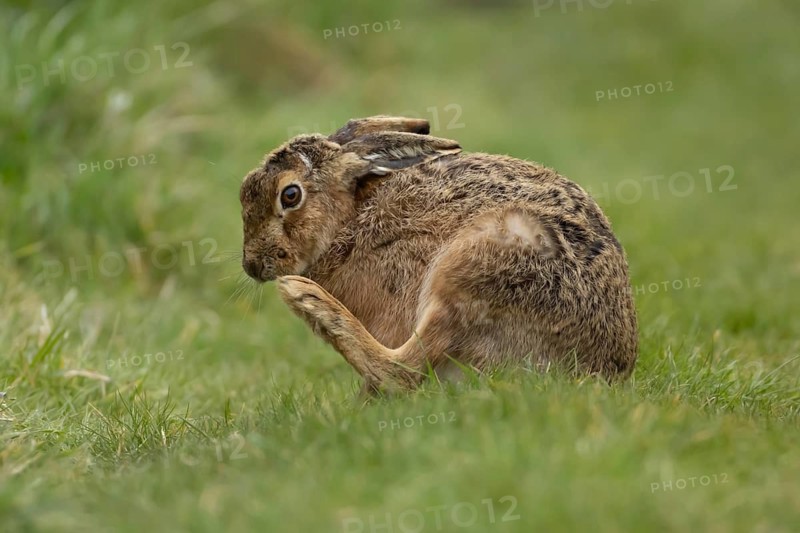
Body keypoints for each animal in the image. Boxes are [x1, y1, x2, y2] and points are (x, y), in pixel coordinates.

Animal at [239, 115, 638, 393]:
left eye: (290, 195)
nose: (252, 265)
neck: (348, 221)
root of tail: (606, 366)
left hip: (473, 269)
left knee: (400, 371)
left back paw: (305, 298)